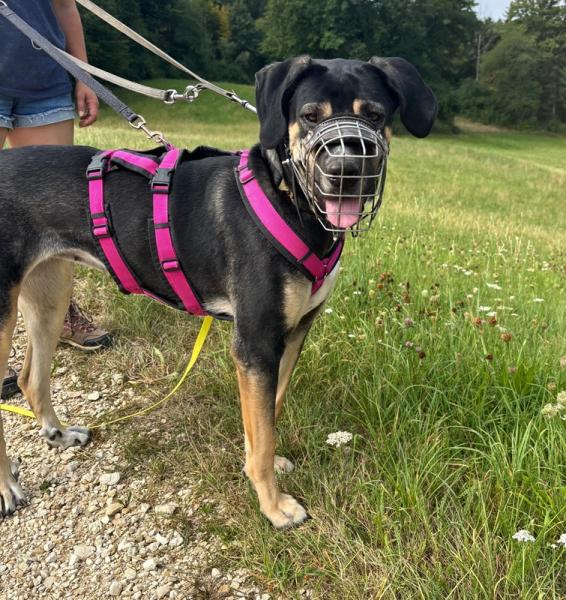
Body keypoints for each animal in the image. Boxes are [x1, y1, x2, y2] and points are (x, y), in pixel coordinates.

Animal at [0, 56, 436, 528]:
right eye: (309, 116)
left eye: (373, 115)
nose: (344, 172)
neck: (290, 201)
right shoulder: (256, 342)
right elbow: (263, 431)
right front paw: (273, 505)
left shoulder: (293, 334)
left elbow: (267, 415)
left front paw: (259, 465)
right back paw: (7, 488)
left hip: (51, 290)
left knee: (30, 377)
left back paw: (59, 433)